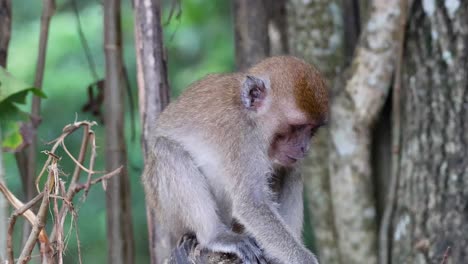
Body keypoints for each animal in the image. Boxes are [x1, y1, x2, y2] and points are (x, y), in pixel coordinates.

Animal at [141, 54, 328, 262]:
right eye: (297, 127)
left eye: (312, 130)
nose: (304, 148)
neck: (251, 118)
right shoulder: (240, 137)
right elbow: (251, 203)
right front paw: (304, 259)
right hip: (167, 211)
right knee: (167, 151)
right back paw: (214, 236)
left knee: (290, 171)